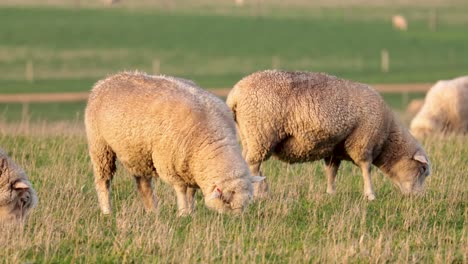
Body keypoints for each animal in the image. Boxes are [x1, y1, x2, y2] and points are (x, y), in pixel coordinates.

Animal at [84, 71, 266, 216]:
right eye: (227, 201)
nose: (236, 220)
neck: (211, 139)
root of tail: (106, 80)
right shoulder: (170, 165)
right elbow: (181, 190)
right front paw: (184, 213)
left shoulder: (193, 166)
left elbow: (191, 191)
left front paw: (191, 210)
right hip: (100, 146)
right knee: (103, 181)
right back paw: (107, 211)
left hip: (138, 153)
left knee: (143, 184)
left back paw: (152, 211)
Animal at [228, 70, 432, 200]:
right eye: (422, 169)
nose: (419, 198)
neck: (388, 138)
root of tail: (235, 93)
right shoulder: (363, 142)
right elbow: (366, 169)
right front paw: (370, 194)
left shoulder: (335, 149)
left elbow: (331, 172)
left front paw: (331, 193)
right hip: (260, 133)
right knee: (253, 164)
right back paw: (259, 193)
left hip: (249, 136)